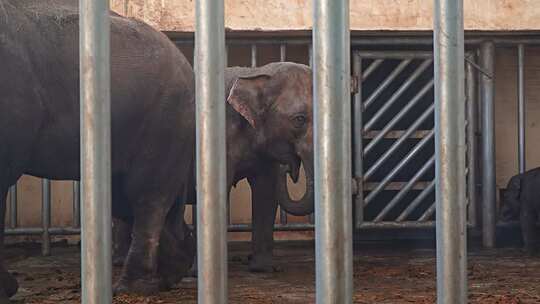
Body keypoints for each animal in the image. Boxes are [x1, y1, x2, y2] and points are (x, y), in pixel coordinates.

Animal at [114, 61, 316, 274]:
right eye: (299, 119)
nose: (288, 170)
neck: (255, 73)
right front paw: (197, 273)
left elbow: (265, 191)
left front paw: (264, 269)